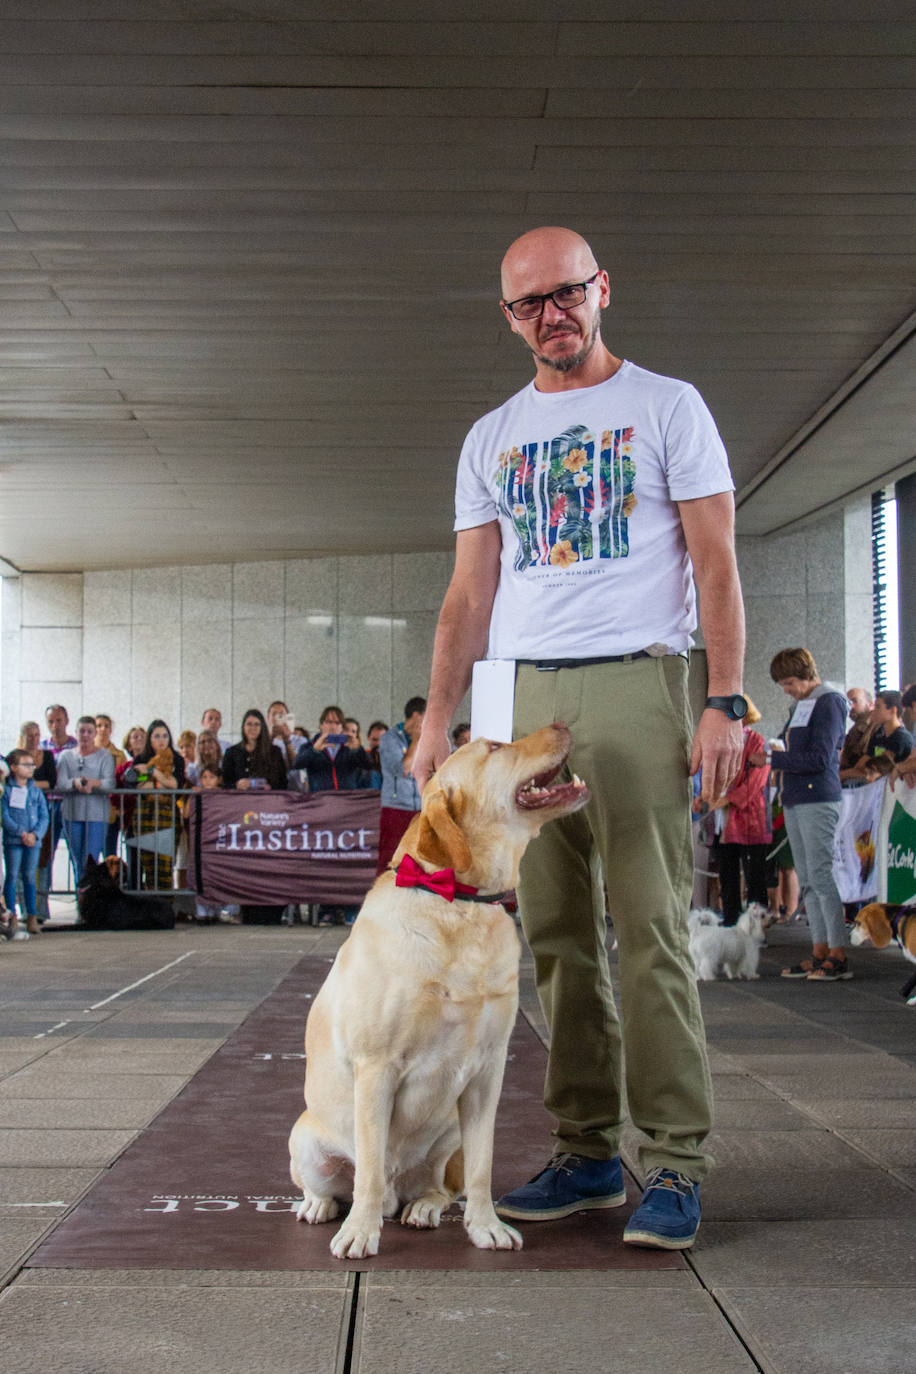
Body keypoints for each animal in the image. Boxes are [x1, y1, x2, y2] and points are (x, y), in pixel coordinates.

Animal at [288, 725, 587, 1258]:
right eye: (494, 748)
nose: (561, 724)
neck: (459, 903)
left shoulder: (488, 1071)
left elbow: (483, 1166)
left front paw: (486, 1226)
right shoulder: (376, 1067)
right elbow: (367, 1168)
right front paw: (360, 1232)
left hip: (448, 1131)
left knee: (439, 1187)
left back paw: (423, 1208)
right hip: (302, 1138)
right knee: (342, 1183)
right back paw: (321, 1206)